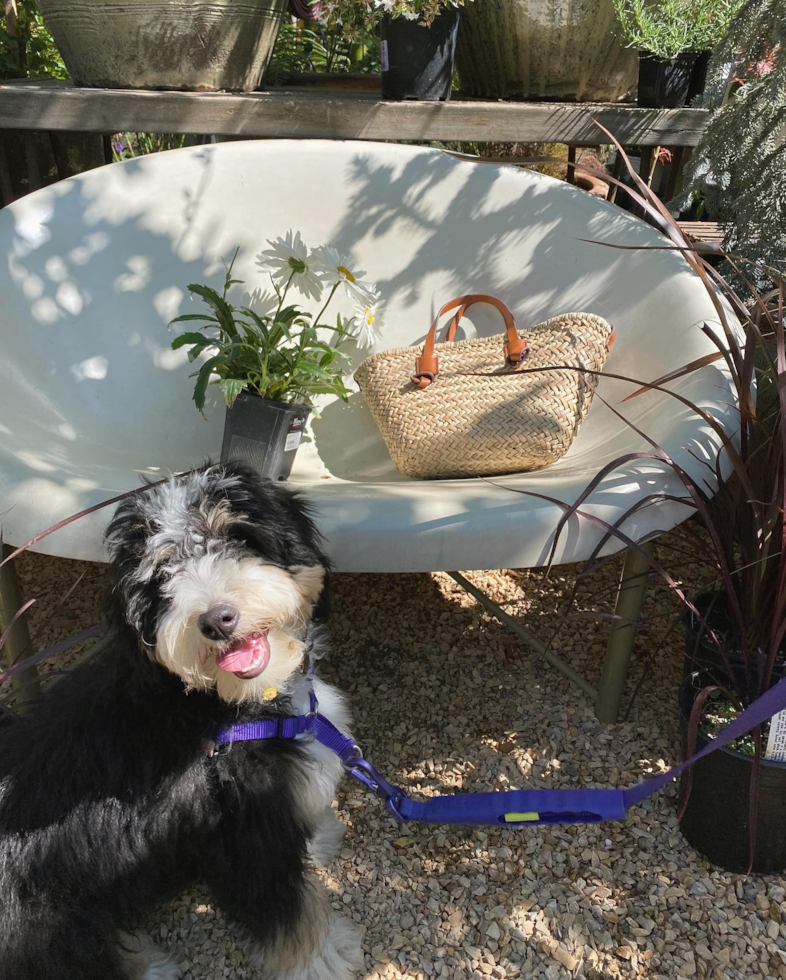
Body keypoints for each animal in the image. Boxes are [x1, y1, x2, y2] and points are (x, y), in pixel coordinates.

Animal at [0, 464, 362, 980]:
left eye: (238, 538)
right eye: (161, 577)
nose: (218, 619)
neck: (225, 706)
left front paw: (316, 840)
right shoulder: (243, 832)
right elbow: (286, 909)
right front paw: (321, 958)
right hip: (40, 920)